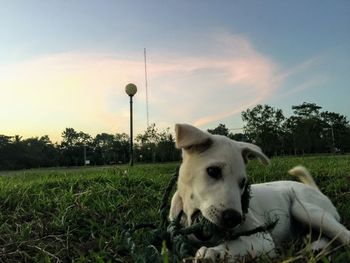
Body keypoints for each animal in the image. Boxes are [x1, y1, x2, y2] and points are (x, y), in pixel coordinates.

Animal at [170, 125, 350, 262]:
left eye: (242, 183)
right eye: (213, 171)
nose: (234, 218)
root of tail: (314, 189)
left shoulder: (263, 239)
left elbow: (236, 244)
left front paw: (214, 251)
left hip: (304, 209)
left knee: (343, 234)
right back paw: (314, 247)